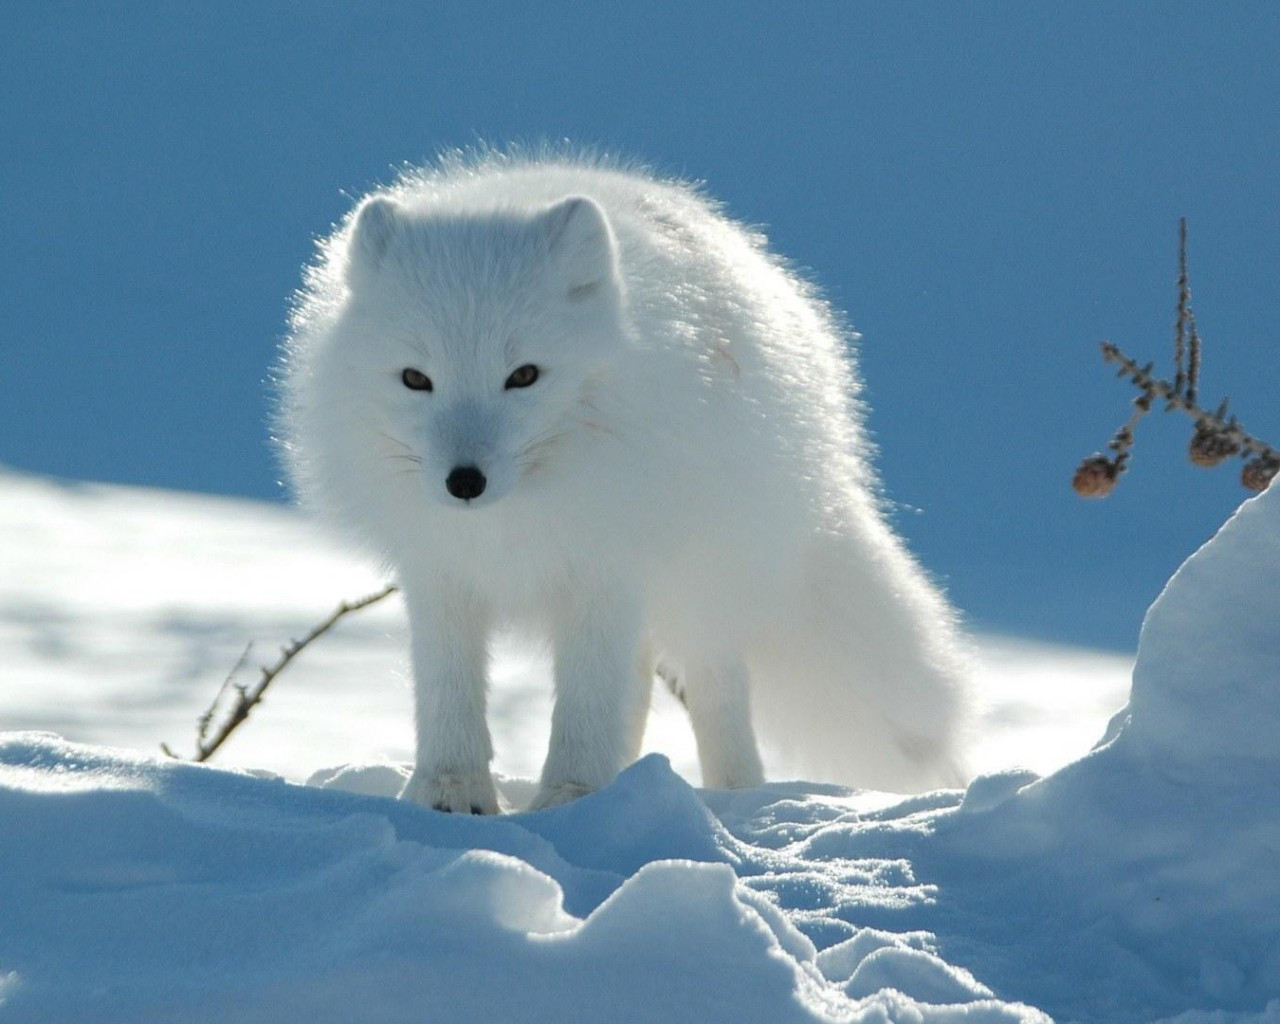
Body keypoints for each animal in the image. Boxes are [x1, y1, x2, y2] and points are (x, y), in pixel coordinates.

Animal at [282, 152, 967, 814]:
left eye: (523, 375)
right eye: (415, 379)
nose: (464, 482)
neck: (513, 521)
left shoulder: (605, 568)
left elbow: (587, 703)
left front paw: (571, 798)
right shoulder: (440, 572)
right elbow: (449, 690)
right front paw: (450, 792)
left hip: (704, 581)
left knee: (714, 687)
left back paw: (733, 796)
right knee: (636, 686)